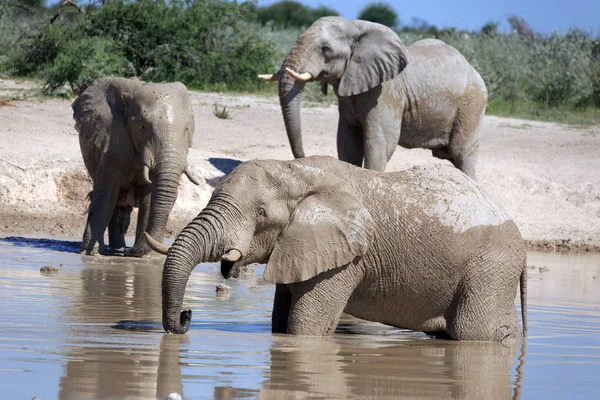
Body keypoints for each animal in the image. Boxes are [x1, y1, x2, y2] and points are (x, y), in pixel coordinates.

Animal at [73, 77, 199, 256]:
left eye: (186, 129)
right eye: (142, 127)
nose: (129, 251)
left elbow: (149, 198)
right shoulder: (113, 141)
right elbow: (105, 195)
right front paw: (90, 254)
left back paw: (118, 248)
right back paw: (115, 249)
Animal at [148, 156, 528, 344]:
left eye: (261, 213)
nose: (187, 317)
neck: (298, 171)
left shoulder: (344, 259)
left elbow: (305, 327)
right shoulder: (298, 247)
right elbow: (280, 323)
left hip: (490, 267)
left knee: (474, 331)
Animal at [258, 17, 488, 179]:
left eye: (326, 49)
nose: (303, 158)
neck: (355, 27)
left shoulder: (385, 93)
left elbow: (379, 143)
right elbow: (347, 141)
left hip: (472, 105)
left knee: (462, 154)